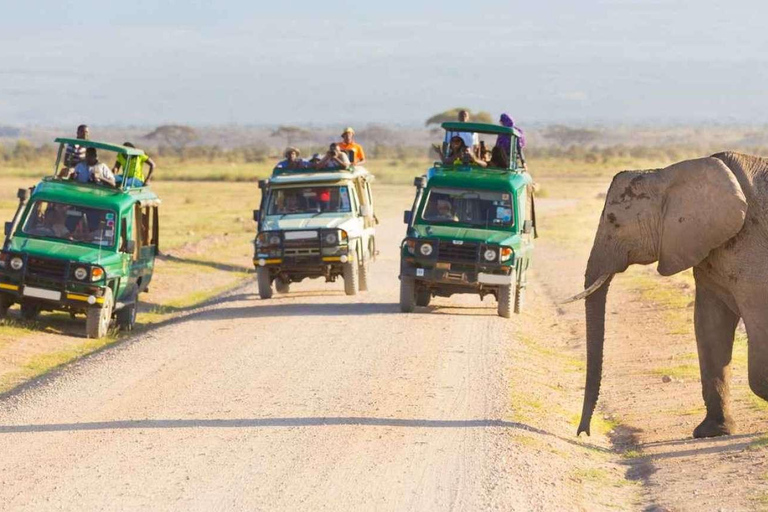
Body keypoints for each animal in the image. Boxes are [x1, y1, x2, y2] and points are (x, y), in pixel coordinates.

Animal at [568, 150, 768, 438]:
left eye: (613, 221)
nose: (583, 432)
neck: (669, 173)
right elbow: (709, 327)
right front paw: (712, 431)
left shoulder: (753, 252)